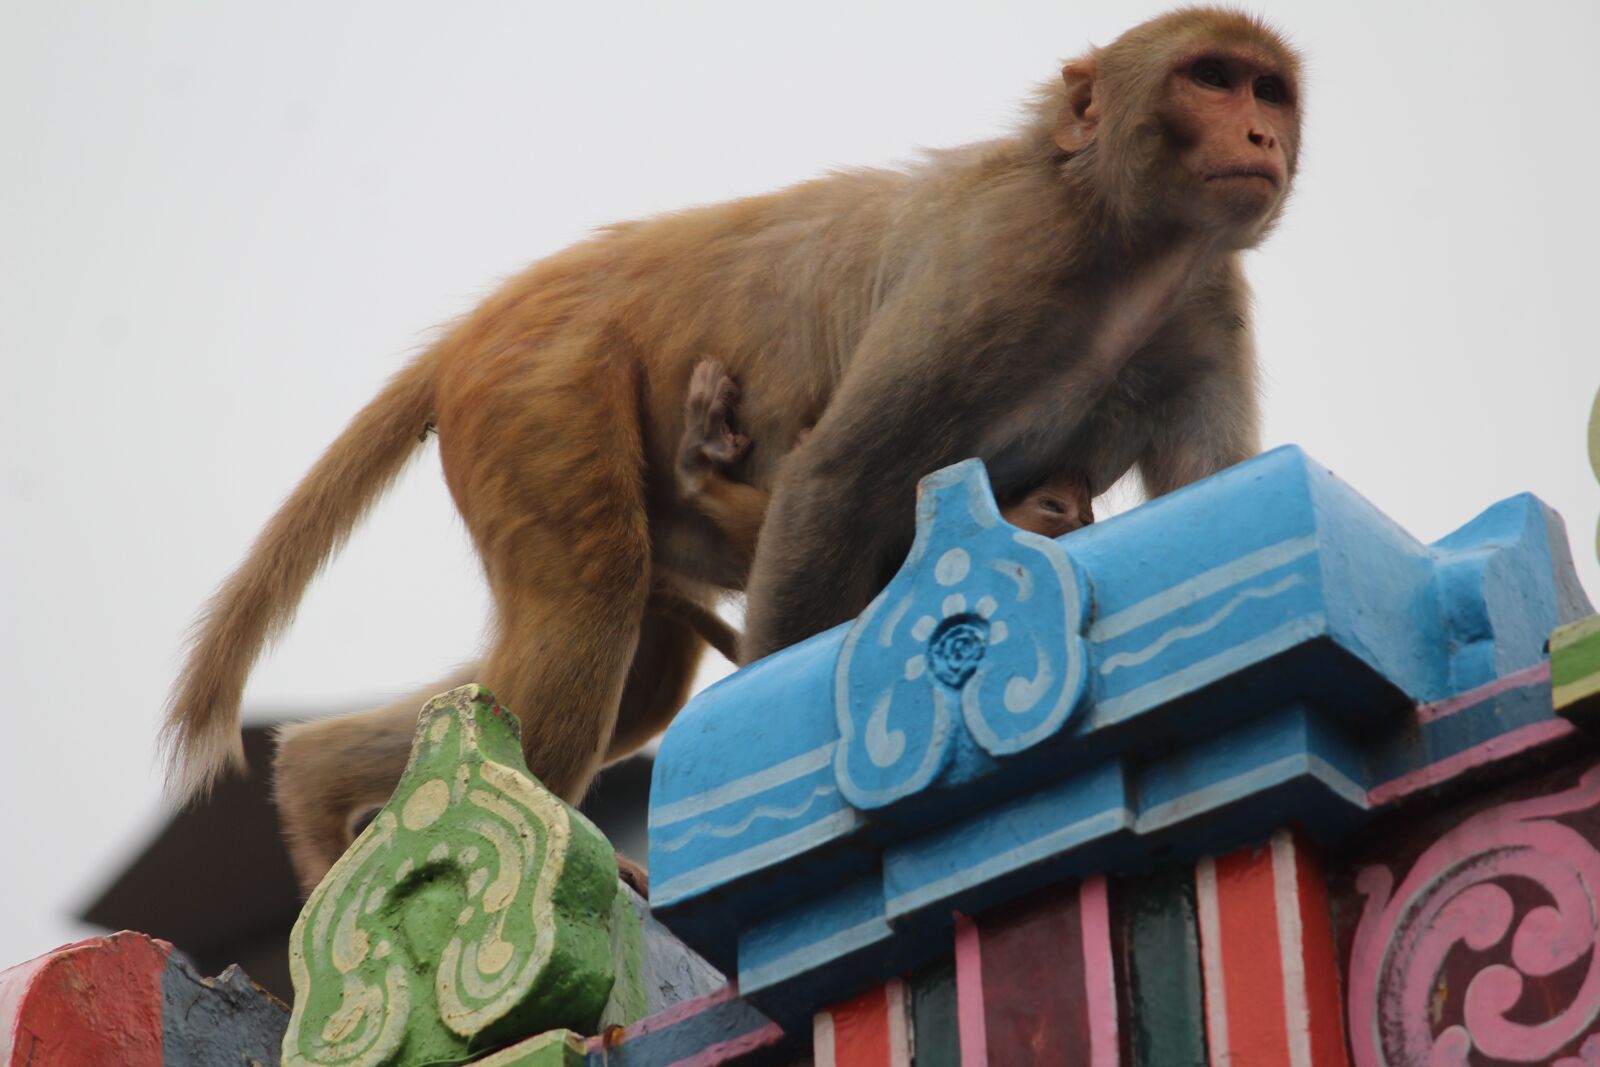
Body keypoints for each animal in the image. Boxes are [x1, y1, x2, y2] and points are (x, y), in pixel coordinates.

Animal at [166, 8, 1301, 882]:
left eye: (1268, 88)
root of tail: (479, 324)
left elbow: (1215, 495)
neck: (1120, 239)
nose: (1258, 132)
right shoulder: (1001, 259)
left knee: (636, 666)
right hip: (540, 393)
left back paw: (315, 787)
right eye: (1208, 77)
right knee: (591, 601)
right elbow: (835, 479)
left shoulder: (1206, 308)